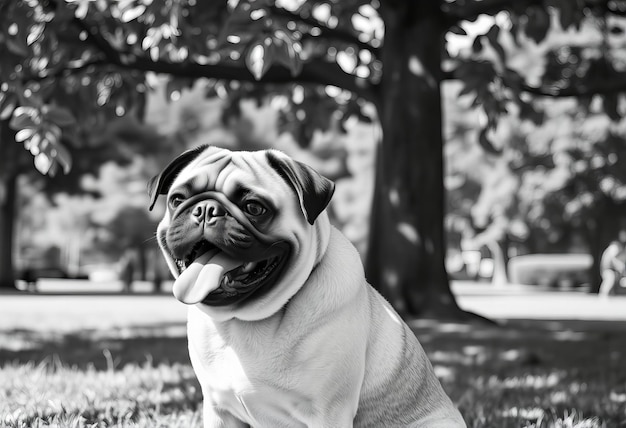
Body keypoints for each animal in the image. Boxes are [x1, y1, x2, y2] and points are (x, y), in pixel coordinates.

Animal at [147, 145, 464, 426]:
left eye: (254, 208)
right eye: (177, 199)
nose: (206, 209)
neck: (245, 321)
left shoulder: (329, 413)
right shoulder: (219, 410)